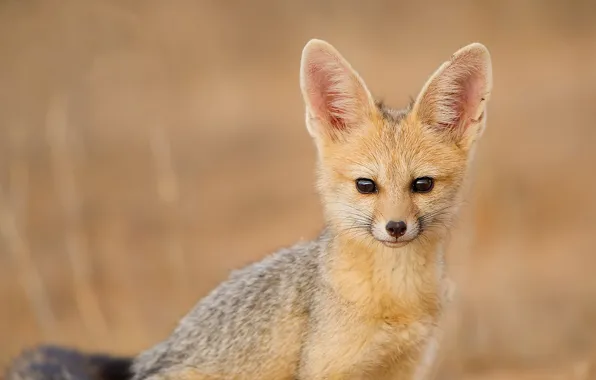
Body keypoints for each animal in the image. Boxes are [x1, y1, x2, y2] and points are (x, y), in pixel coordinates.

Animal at [4, 39, 494, 380]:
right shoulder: (327, 369)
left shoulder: (405, 367)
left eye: (422, 185)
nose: (395, 227)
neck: (395, 297)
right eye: (366, 186)